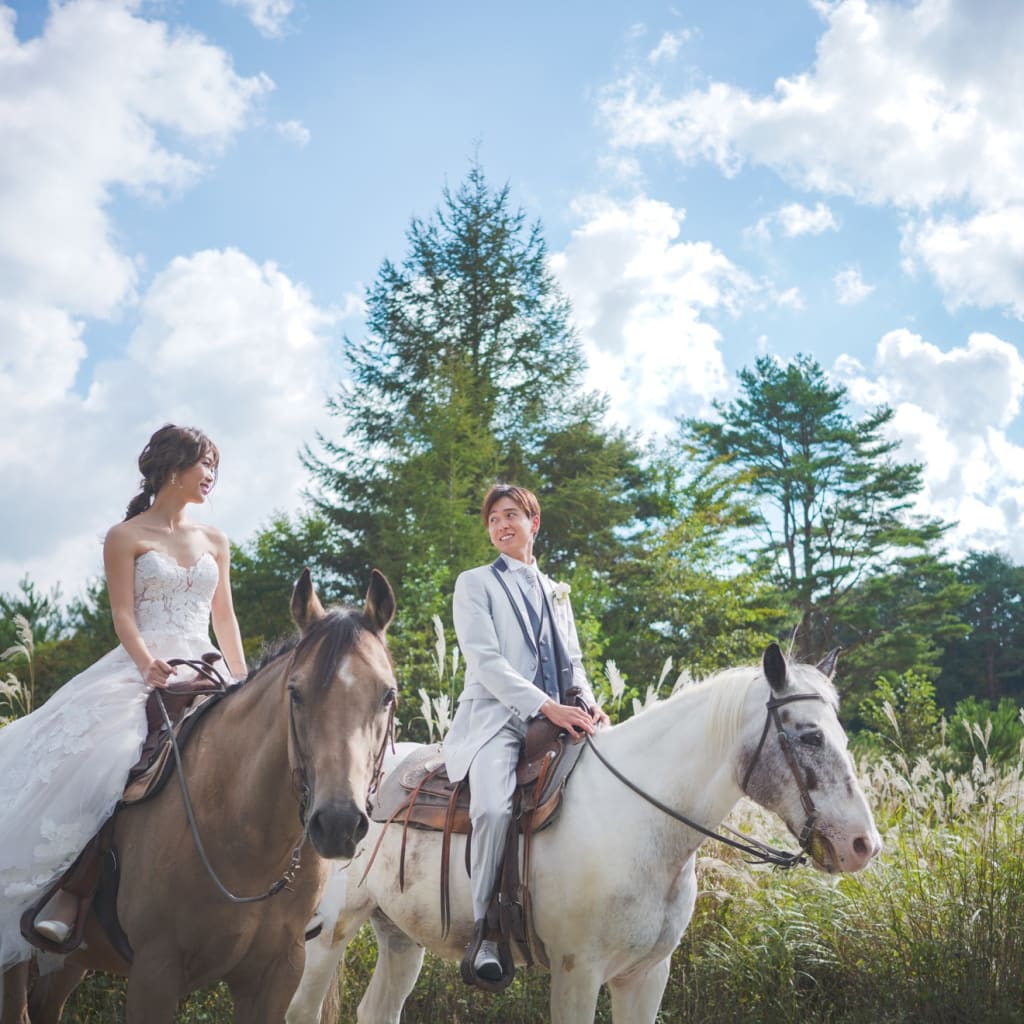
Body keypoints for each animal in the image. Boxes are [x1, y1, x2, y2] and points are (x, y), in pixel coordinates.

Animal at [3, 569, 395, 1024]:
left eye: (387, 694)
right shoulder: (155, 972)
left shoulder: (277, 973)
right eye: (295, 692)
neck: (246, 840)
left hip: (70, 960)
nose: (337, 824)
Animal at [286, 643, 880, 1019]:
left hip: (399, 936)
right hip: (328, 934)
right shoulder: (577, 972)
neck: (638, 823)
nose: (863, 845)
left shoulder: (646, 976)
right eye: (809, 737)